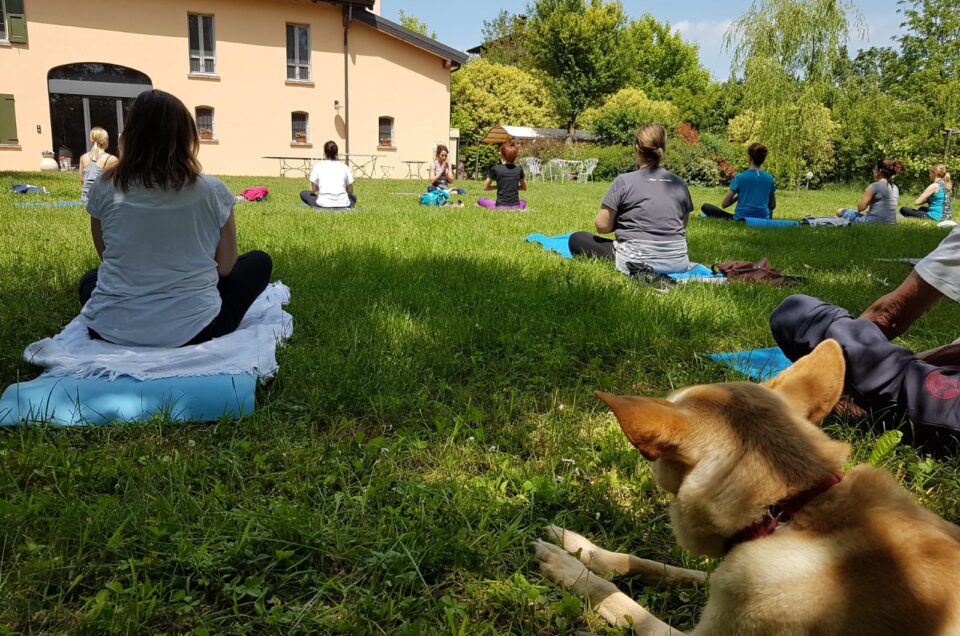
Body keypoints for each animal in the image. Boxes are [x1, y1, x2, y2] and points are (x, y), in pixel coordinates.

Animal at [532, 340, 960, 632]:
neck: (791, 507)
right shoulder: (727, 579)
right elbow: (658, 565)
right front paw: (586, 550)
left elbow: (623, 603)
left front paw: (571, 568)